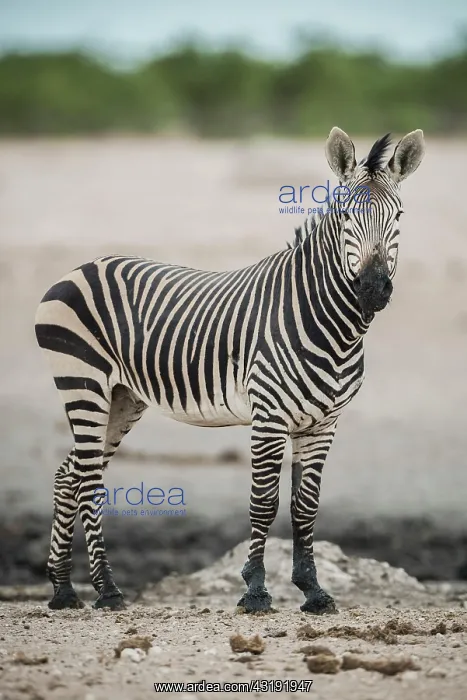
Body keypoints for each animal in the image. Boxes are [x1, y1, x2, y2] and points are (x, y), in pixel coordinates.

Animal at [35, 127, 425, 614]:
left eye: (399, 215)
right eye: (343, 217)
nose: (372, 288)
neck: (330, 323)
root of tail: (77, 268)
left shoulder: (323, 424)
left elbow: (305, 507)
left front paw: (313, 591)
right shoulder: (270, 417)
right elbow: (264, 504)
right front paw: (255, 591)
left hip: (121, 398)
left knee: (67, 475)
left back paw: (63, 589)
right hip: (83, 385)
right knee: (87, 480)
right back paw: (107, 591)